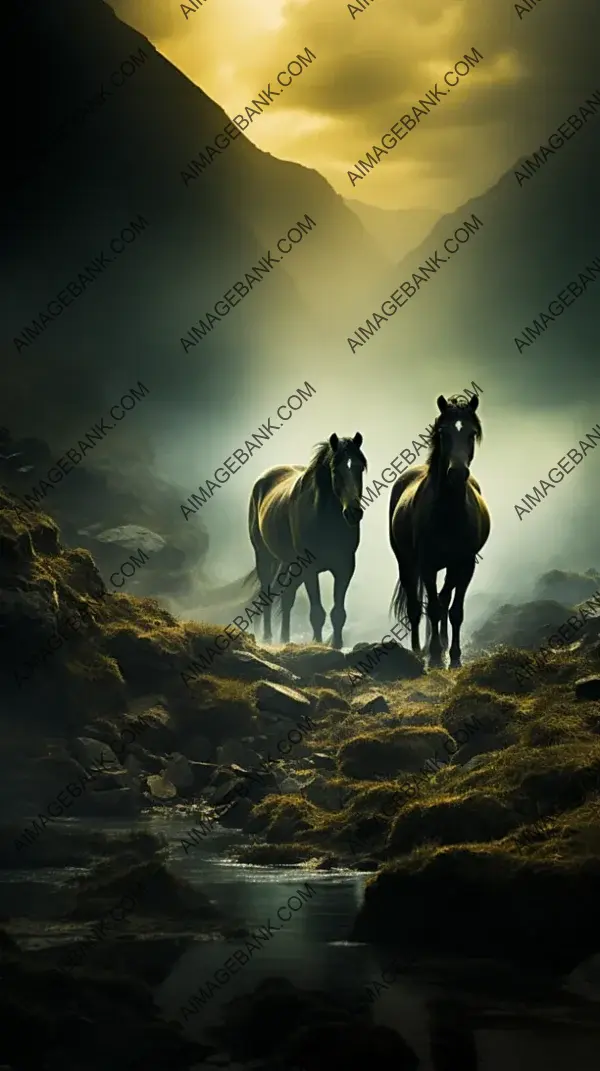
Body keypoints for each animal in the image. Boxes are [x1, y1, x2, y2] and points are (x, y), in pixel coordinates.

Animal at [247, 430, 368, 646]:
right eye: (335, 470)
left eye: (360, 467)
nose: (353, 513)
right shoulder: (309, 569)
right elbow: (317, 613)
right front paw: (317, 644)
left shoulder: (345, 567)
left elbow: (338, 612)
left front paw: (336, 645)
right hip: (265, 557)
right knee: (267, 594)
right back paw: (268, 637)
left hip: (288, 563)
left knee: (286, 596)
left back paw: (285, 639)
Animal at [390, 398, 492, 668]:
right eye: (443, 433)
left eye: (471, 433)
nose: (457, 473)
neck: (449, 513)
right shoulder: (427, 565)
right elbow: (433, 608)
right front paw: (435, 656)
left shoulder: (465, 564)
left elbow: (454, 610)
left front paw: (454, 657)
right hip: (406, 562)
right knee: (416, 607)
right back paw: (418, 650)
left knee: (444, 600)